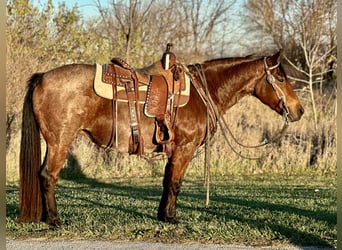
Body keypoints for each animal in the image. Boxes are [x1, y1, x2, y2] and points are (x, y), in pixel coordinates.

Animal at [18, 49, 304, 228]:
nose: (299, 110)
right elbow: (175, 183)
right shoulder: (185, 148)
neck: (203, 92)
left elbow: (167, 182)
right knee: (48, 175)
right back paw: (54, 220)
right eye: (280, 78)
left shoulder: (173, 150)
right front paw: (172, 217)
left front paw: (162, 215)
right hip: (60, 141)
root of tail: (42, 77)